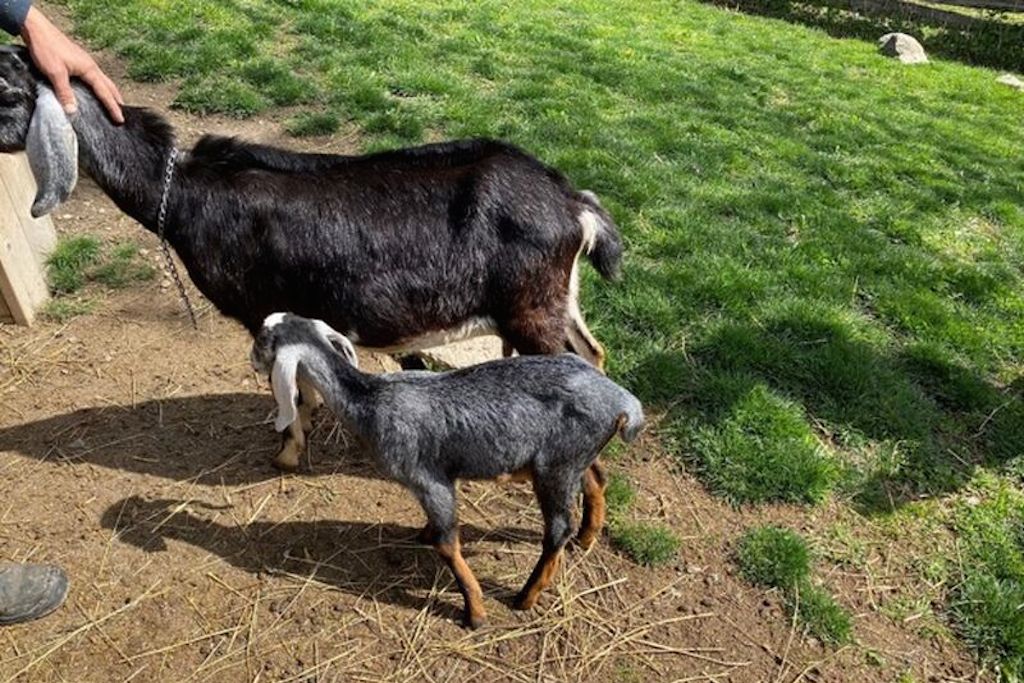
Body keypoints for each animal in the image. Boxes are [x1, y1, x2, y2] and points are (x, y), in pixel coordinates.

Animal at [0, 48, 625, 471]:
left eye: (7, 90)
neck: (183, 193)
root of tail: (573, 204)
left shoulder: (261, 310)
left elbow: (288, 389)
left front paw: (287, 452)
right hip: (557, 299)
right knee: (592, 353)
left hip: (530, 307)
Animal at [250, 313, 644, 628]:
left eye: (263, 340)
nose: (251, 360)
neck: (369, 399)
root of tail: (623, 401)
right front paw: (423, 533)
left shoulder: (429, 478)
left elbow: (446, 542)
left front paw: (475, 613)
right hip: (575, 456)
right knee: (596, 481)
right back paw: (587, 538)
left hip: (555, 467)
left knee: (558, 529)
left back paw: (525, 597)